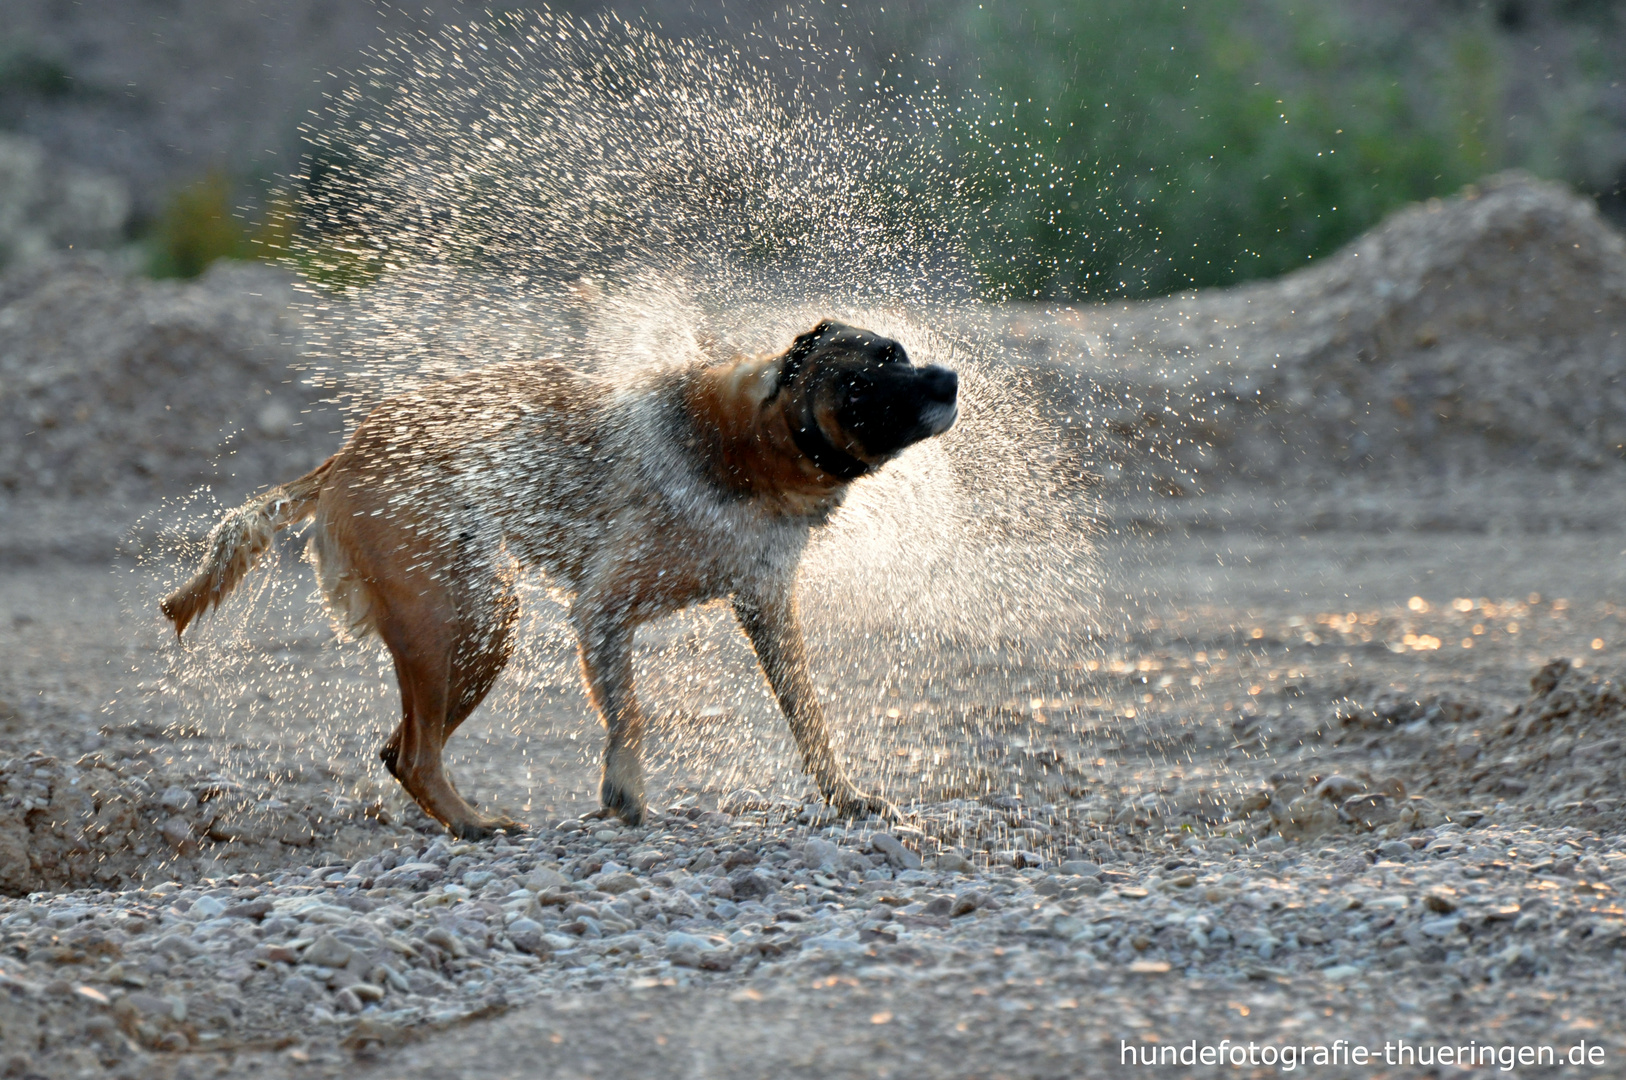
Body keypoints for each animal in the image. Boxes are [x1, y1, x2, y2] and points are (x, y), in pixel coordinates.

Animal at [158, 317, 956, 839]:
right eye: (867, 378)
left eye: (900, 350)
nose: (949, 377)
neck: (747, 448)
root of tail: (347, 452)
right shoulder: (603, 610)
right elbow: (630, 715)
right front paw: (624, 790)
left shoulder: (766, 611)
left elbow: (810, 721)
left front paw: (847, 798)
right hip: (468, 619)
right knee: (415, 754)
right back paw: (475, 825)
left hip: (471, 633)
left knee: (400, 751)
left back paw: (460, 820)